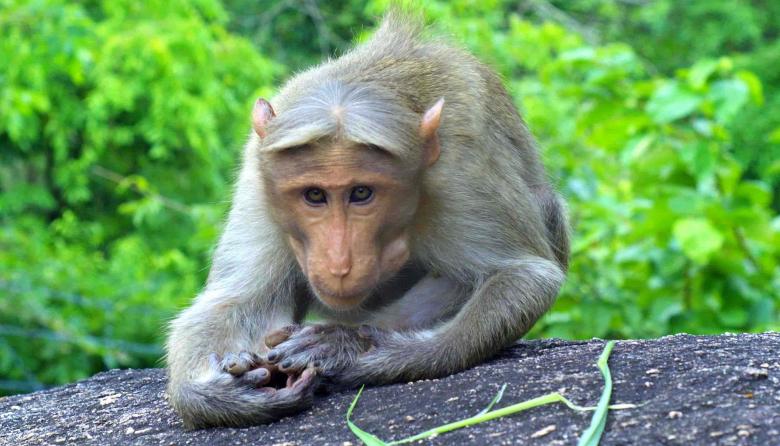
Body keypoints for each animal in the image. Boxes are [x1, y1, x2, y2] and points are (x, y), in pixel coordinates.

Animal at [165, 12, 569, 429]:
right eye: (314, 195)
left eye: (361, 193)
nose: (339, 264)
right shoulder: (259, 177)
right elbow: (236, 299)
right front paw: (214, 393)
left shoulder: (461, 172)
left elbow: (525, 275)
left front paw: (353, 347)